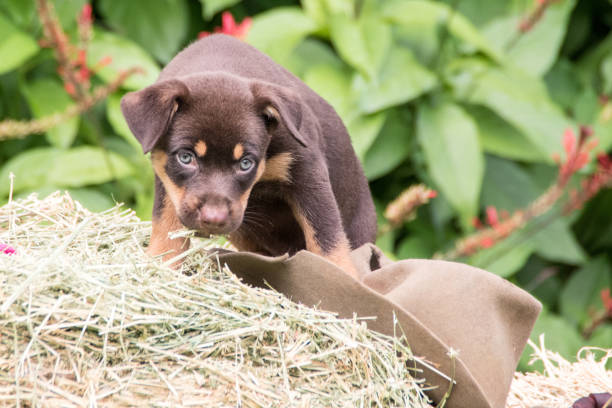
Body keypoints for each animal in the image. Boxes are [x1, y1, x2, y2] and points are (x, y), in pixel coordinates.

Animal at [121, 34, 376, 278]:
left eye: (246, 163)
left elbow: (327, 239)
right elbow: (165, 225)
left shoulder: (307, 172)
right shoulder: (165, 177)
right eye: (186, 157)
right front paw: (158, 262)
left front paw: (342, 277)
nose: (214, 219)